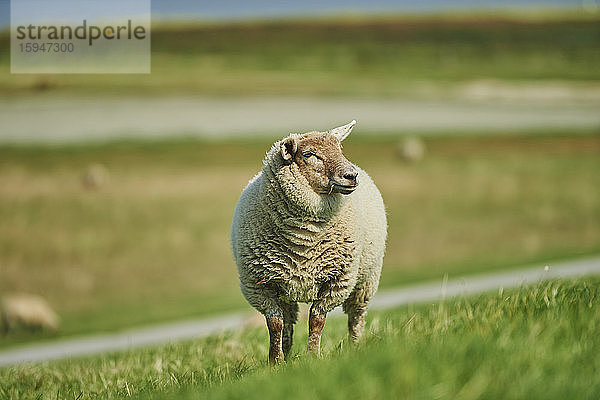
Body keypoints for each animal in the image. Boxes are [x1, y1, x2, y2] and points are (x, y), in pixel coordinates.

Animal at [232, 120, 386, 364]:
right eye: (310, 154)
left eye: (340, 150)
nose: (351, 175)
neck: (303, 240)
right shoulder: (261, 284)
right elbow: (275, 324)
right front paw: (275, 362)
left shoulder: (337, 281)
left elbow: (316, 320)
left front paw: (313, 356)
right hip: (285, 286)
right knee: (288, 322)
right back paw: (286, 353)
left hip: (366, 281)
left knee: (356, 318)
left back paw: (355, 348)